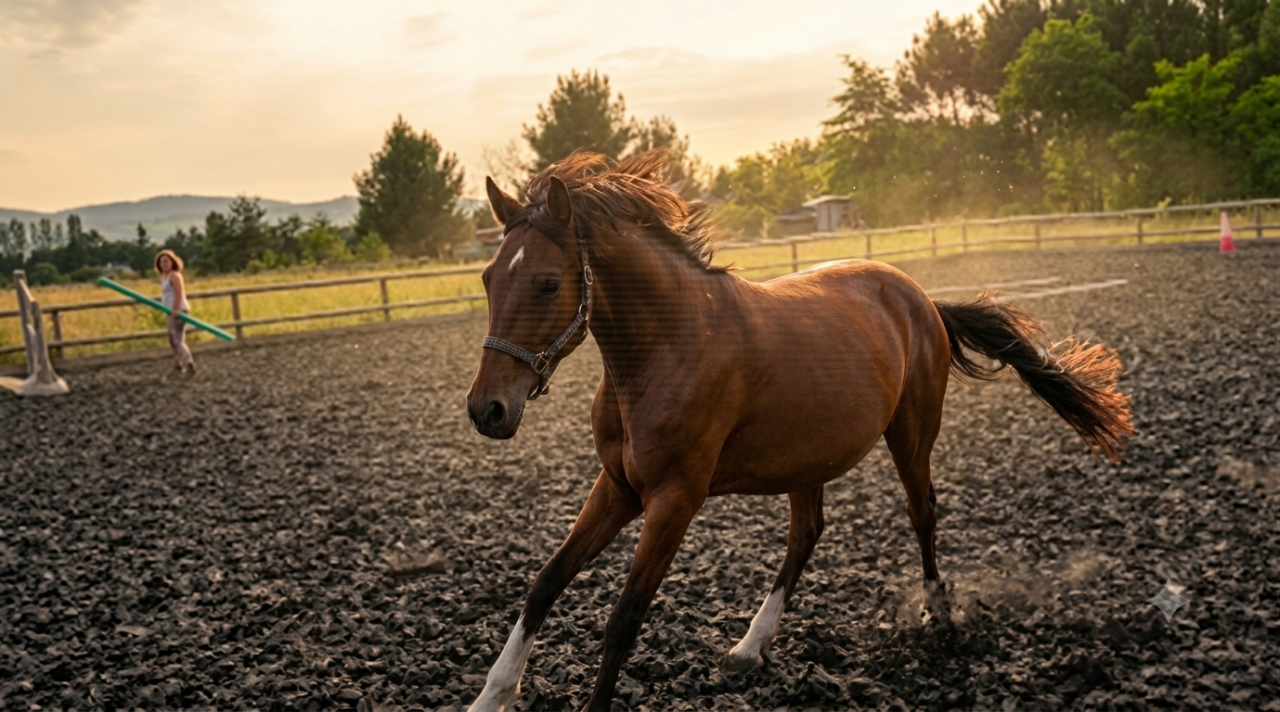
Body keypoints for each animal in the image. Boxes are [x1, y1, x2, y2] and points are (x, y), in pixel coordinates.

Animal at [464, 151, 1132, 711]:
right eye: (488, 278)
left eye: (548, 283)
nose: (487, 410)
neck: (668, 348)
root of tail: (919, 295)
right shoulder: (619, 486)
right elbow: (545, 583)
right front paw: (491, 696)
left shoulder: (675, 498)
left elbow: (624, 620)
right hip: (810, 457)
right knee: (807, 534)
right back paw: (750, 646)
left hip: (912, 436)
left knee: (923, 513)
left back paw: (937, 617)